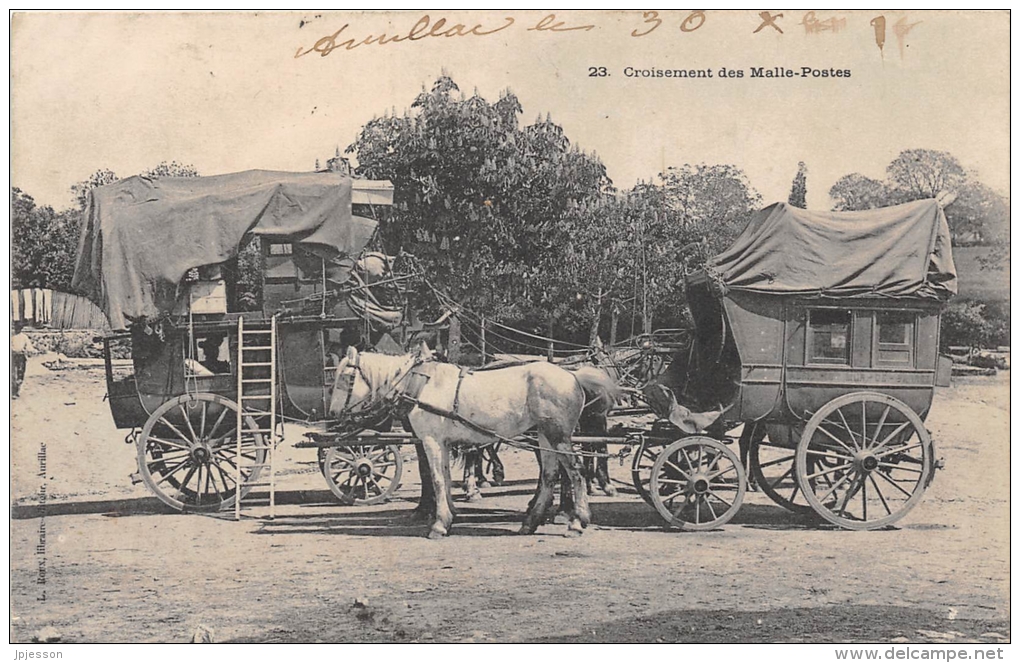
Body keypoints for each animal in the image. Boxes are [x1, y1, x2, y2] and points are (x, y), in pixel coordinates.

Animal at [330, 346, 620, 538]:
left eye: (345, 377)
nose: (332, 414)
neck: (420, 384)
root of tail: (572, 375)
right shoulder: (443, 442)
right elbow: (445, 478)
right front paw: (450, 515)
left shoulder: (432, 441)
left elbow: (436, 479)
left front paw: (439, 524)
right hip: (544, 435)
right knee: (550, 475)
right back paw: (531, 522)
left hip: (558, 436)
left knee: (576, 472)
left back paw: (577, 521)